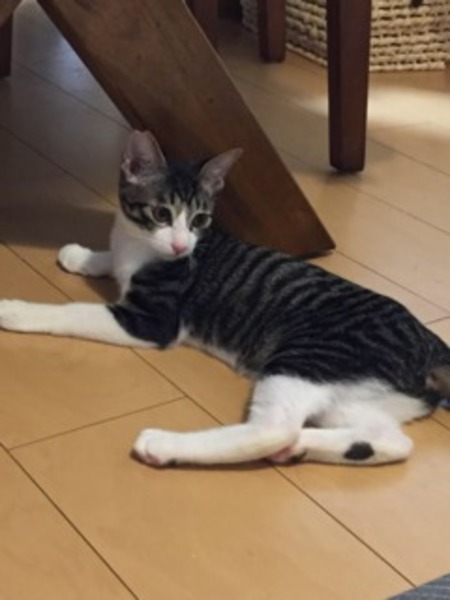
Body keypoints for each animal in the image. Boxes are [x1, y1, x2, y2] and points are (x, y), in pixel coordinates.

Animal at [1, 130, 449, 468]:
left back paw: (166, 444)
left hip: (311, 359)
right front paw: (81, 256)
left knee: (272, 429)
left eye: (200, 219)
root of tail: (429, 343)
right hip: (359, 392)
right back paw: (302, 447)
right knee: (391, 441)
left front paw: (16, 309)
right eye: (161, 214)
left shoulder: (152, 321)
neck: (141, 246)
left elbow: (75, 312)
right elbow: (111, 260)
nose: (181, 246)